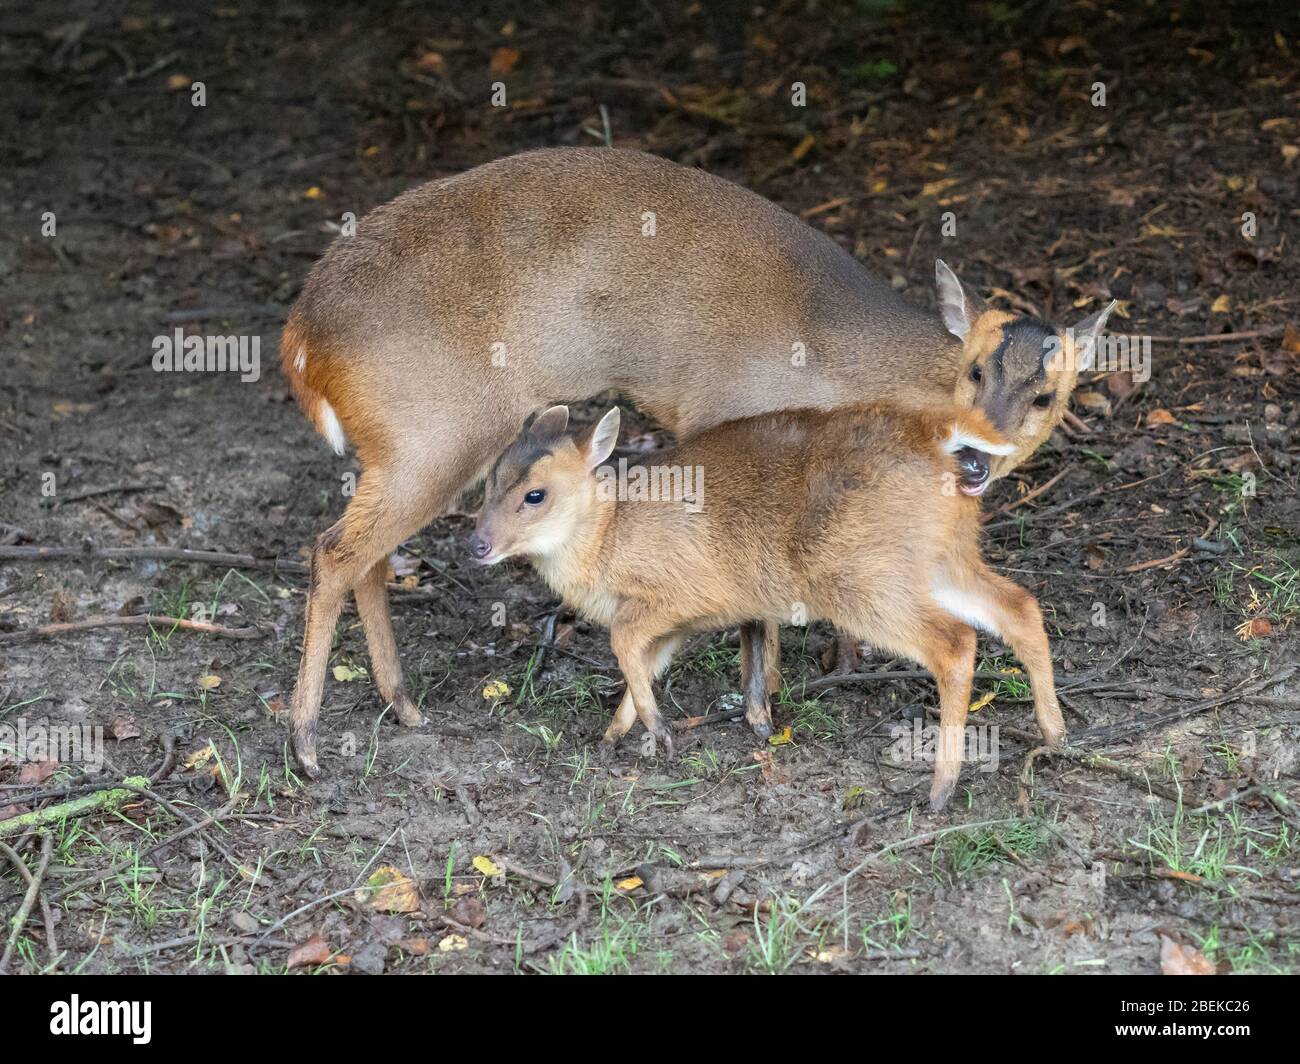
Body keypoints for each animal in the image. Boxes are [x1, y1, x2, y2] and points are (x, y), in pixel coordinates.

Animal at [473, 403, 1060, 806]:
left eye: (535, 494)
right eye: (487, 483)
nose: (477, 544)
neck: (608, 537)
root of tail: (938, 441)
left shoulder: (686, 594)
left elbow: (623, 642)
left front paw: (660, 732)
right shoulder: (678, 623)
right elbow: (645, 663)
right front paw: (616, 735)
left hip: (860, 576)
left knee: (955, 642)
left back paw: (941, 788)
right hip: (943, 558)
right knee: (1020, 606)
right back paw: (1055, 735)